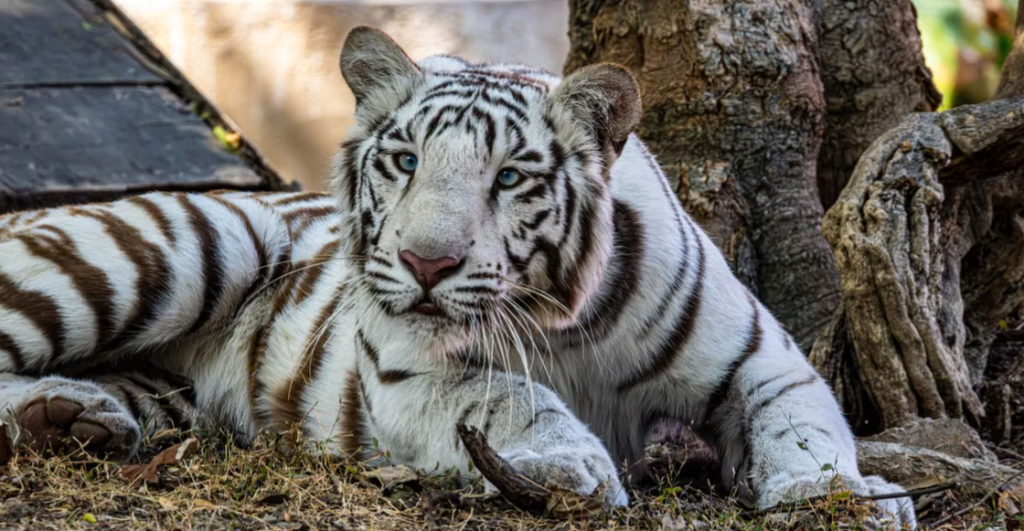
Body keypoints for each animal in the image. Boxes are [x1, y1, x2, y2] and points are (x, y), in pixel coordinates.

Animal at [0, 26, 914, 526]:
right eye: (405, 161)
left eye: (509, 177)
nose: (425, 262)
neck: (566, 322)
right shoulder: (412, 372)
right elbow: (510, 395)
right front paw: (572, 466)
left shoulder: (766, 362)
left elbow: (806, 427)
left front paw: (845, 497)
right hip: (182, 243)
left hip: (170, 380)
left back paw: (74, 417)